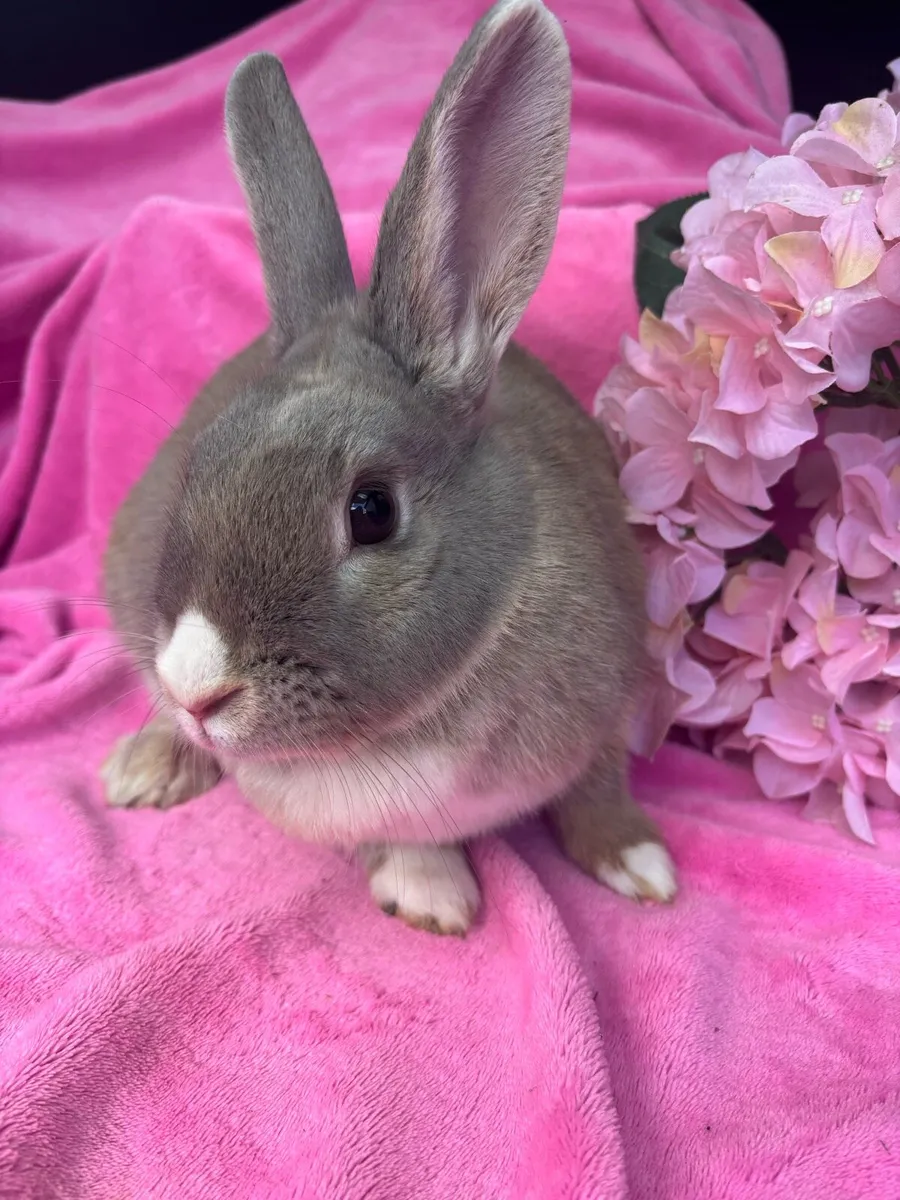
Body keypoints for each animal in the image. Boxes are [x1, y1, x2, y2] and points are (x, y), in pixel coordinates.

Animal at [101, 0, 677, 936]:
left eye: (371, 511)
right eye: (201, 461)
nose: (199, 691)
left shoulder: (610, 701)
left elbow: (598, 789)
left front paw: (641, 863)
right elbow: (402, 840)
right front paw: (435, 899)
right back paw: (145, 769)